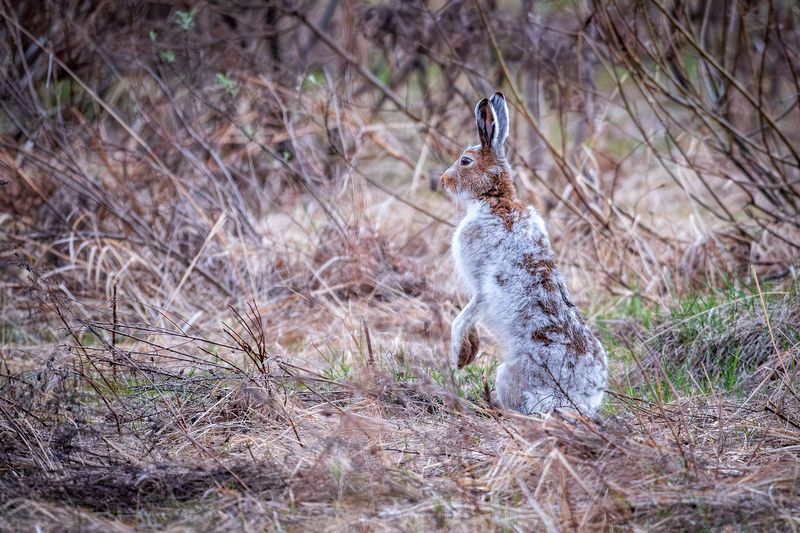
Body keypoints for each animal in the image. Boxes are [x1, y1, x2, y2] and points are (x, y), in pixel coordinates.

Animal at [440, 91, 607, 418]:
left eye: (465, 161)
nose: (443, 180)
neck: (496, 198)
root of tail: (584, 392)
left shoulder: (480, 286)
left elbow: (463, 317)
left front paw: (459, 356)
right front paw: (468, 351)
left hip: (511, 374)